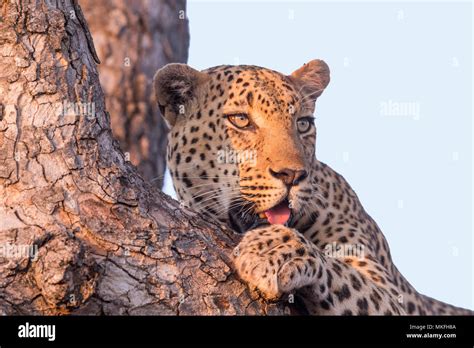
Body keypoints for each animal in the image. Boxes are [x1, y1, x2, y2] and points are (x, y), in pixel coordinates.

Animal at [154, 59, 472, 316]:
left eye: (303, 123)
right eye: (241, 120)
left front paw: (272, 250)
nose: (292, 175)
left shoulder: (395, 298)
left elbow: (339, 270)